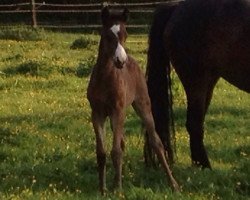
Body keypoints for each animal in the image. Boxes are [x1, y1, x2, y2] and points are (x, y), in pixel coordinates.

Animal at [86, 6, 180, 194]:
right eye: (108, 35)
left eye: (126, 34)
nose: (120, 61)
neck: (105, 79)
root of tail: (133, 61)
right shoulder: (97, 113)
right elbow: (102, 152)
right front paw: (102, 189)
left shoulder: (118, 111)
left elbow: (115, 151)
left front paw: (118, 190)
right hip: (115, 117)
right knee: (122, 142)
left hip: (142, 106)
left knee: (156, 142)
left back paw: (173, 184)